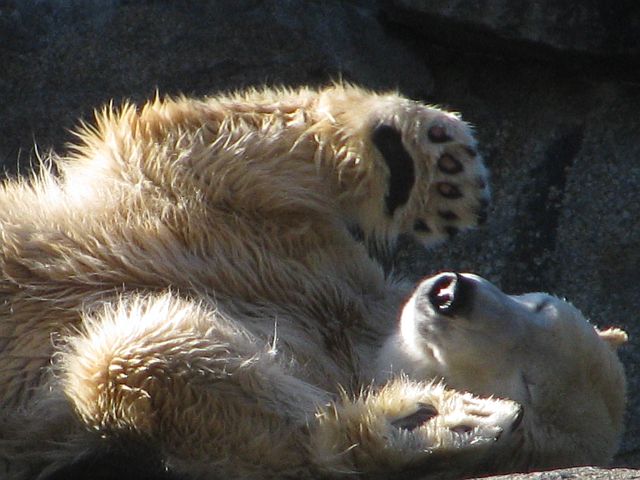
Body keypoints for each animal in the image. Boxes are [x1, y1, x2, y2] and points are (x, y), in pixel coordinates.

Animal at [0, 84, 626, 480]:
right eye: (539, 302)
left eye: (525, 384)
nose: (452, 294)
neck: (355, 334)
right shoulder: (277, 248)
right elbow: (204, 143)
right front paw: (426, 163)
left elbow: (136, 359)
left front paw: (439, 419)